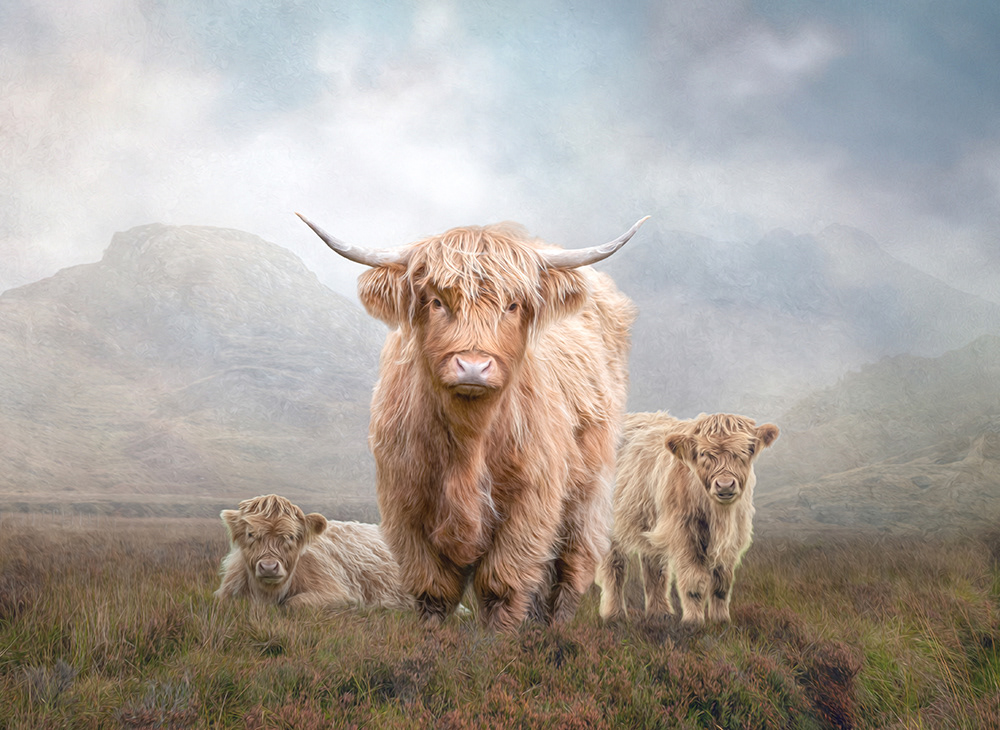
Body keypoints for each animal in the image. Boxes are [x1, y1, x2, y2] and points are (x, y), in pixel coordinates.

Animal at [298, 213, 645, 630]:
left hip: (588, 490)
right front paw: (432, 636)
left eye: (512, 305)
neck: (469, 441)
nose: (474, 367)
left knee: (571, 564)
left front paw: (499, 638)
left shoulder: (530, 501)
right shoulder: (404, 501)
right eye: (436, 301)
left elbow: (502, 582)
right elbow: (433, 588)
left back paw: (555, 627)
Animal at [597, 411, 779, 627]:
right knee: (615, 569)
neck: (717, 514)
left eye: (746, 450)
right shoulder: (685, 535)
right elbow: (694, 580)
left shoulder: (732, 537)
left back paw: (660, 614)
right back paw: (614, 615)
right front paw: (694, 622)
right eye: (703, 453)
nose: (725, 485)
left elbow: (722, 583)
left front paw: (721, 620)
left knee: (653, 568)